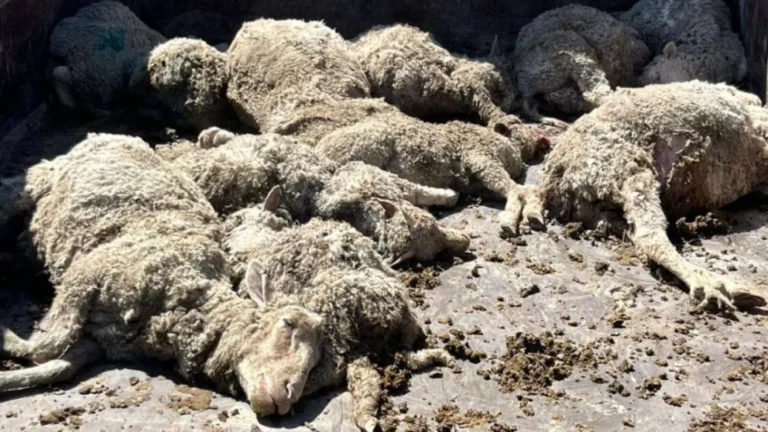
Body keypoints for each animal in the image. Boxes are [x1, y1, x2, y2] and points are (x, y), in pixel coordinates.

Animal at [0, 133, 330, 419]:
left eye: (315, 363)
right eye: (287, 323)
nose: (288, 395)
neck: (187, 295)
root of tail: (112, 136)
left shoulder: (103, 340)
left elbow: (55, 366)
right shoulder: (87, 275)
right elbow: (46, 346)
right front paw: (6, 336)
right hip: (41, 178)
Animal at [161, 129, 470, 264]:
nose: (465, 242)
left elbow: (415, 190)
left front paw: (447, 196)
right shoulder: (365, 176)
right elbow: (412, 188)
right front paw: (448, 194)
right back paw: (211, 136)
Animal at [222, 195, 453, 431]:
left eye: (287, 323)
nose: (284, 394)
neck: (259, 240)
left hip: (335, 316)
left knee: (334, 370)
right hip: (353, 339)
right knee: (361, 374)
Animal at [532, 81, 768, 311]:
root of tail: (555, 180)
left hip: (602, 208)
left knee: (635, 233)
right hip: (627, 170)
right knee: (650, 236)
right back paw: (714, 287)